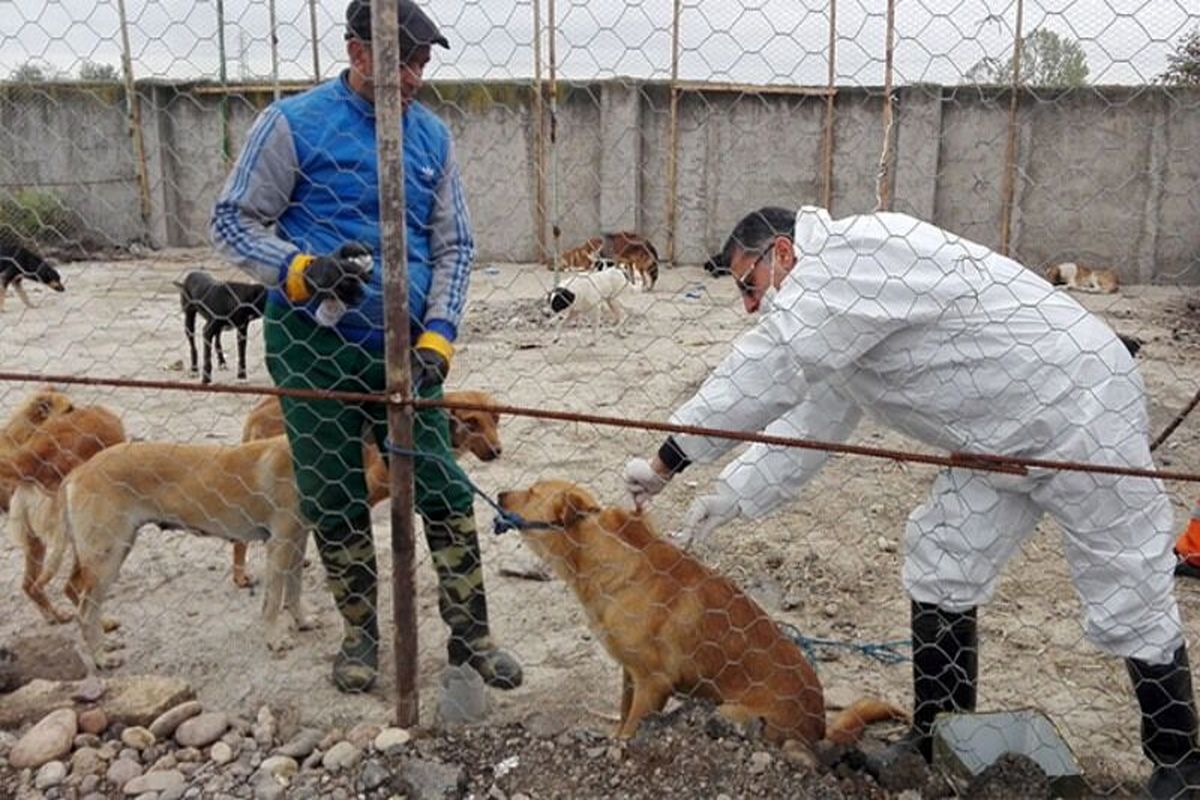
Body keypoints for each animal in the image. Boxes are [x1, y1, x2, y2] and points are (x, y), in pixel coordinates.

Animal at [2, 402, 126, 623]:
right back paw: (102, 624)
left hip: (36, 537)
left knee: (30, 585)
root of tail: (31, 460)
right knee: (68, 587)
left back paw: (56, 616)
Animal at [492, 479, 902, 748]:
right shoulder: (630, 673)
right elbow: (622, 717)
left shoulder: (654, 684)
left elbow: (630, 730)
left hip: (732, 711)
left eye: (532, 492)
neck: (606, 558)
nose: (497, 493)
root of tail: (818, 728)